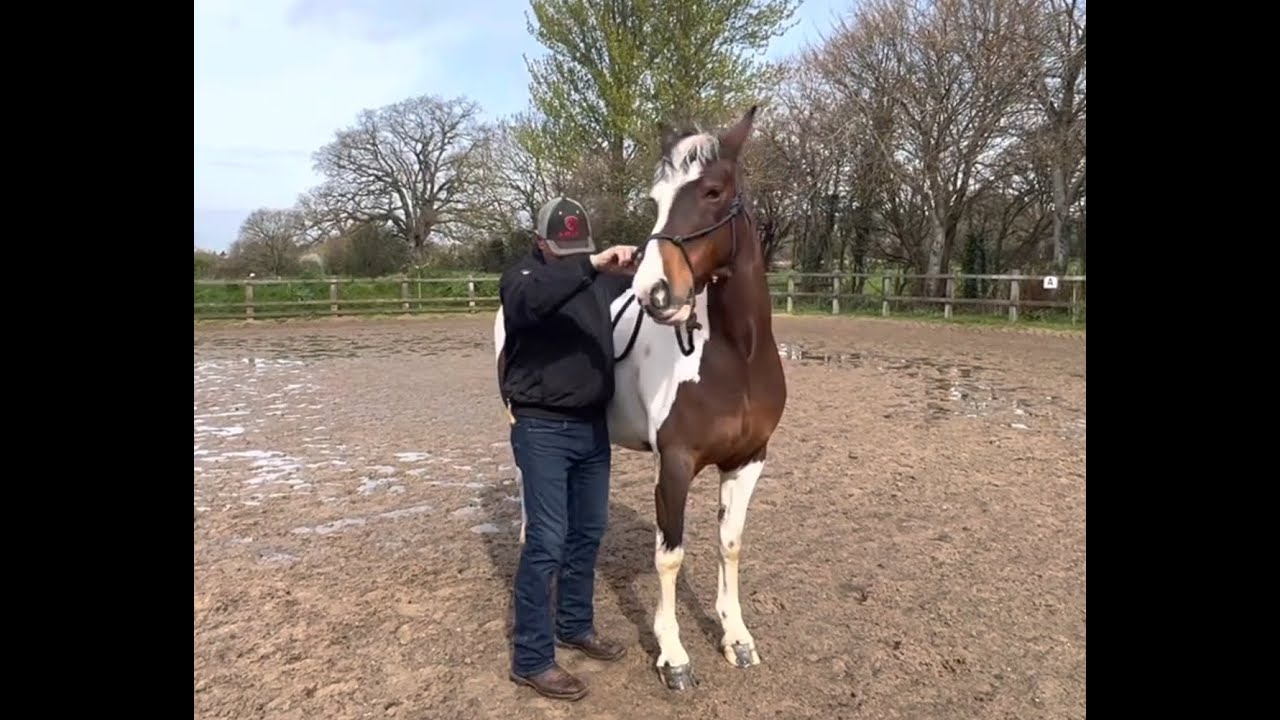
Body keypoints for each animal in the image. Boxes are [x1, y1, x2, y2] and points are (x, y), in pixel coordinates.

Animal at [493, 105, 787, 692]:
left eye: (713, 191)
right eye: (656, 198)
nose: (655, 291)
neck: (736, 359)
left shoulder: (748, 461)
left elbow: (730, 544)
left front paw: (736, 638)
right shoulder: (674, 463)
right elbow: (669, 556)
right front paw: (674, 656)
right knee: (530, 501)